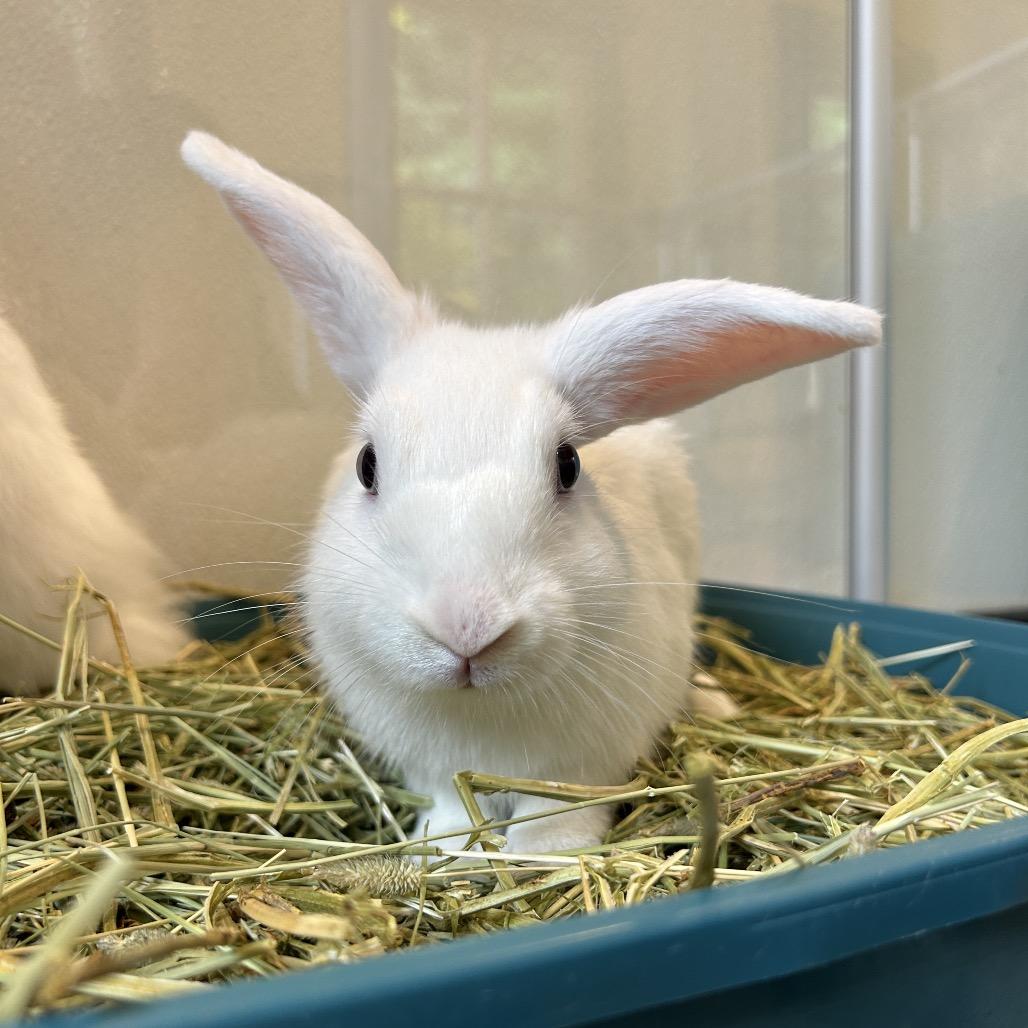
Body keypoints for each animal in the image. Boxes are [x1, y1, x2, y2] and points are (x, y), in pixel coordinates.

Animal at [181, 131, 881, 853]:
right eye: (367, 465)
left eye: (568, 464)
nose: (466, 626)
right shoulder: (433, 765)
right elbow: (454, 804)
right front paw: (447, 850)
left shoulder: (584, 763)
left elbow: (560, 809)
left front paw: (548, 856)